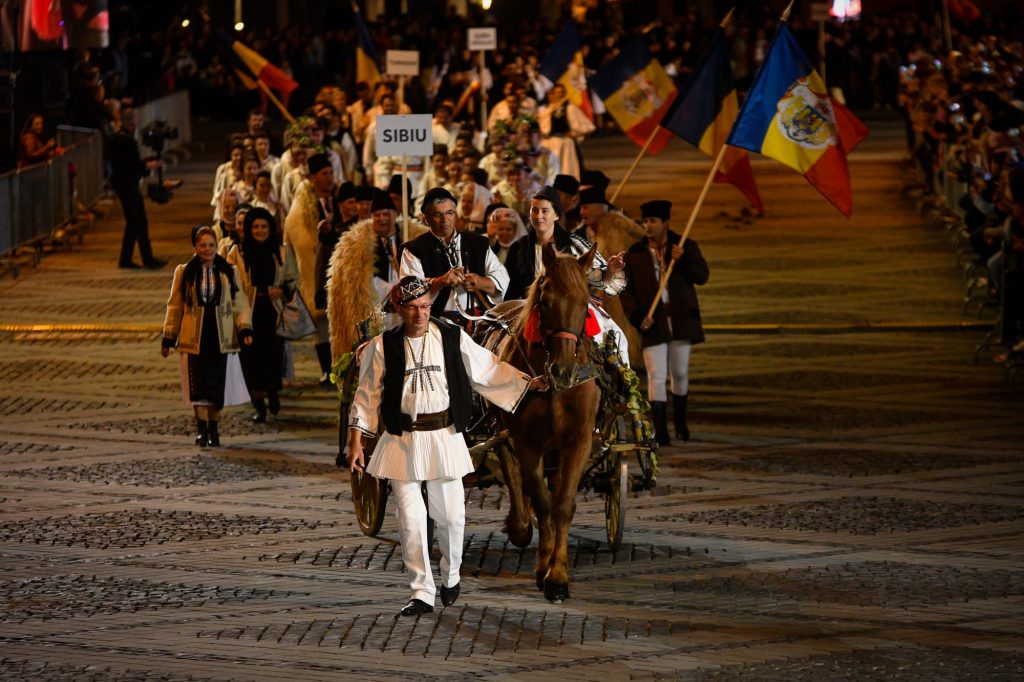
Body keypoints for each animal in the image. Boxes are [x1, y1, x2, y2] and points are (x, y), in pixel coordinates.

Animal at [495, 240, 598, 602]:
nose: (564, 371)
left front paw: (558, 575)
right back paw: (520, 525)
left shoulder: (578, 440)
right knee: (512, 470)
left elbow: (562, 504)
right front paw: (544, 568)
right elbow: (540, 500)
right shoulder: (526, 440)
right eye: (546, 300)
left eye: (585, 303)